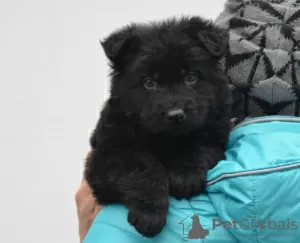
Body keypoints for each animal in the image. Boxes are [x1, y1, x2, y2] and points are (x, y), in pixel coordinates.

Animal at [84, 16, 232, 237]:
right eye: (148, 82)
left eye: (191, 77)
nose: (176, 115)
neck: (165, 140)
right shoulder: (106, 155)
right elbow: (144, 166)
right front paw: (150, 214)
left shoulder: (215, 134)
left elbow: (199, 145)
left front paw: (185, 176)